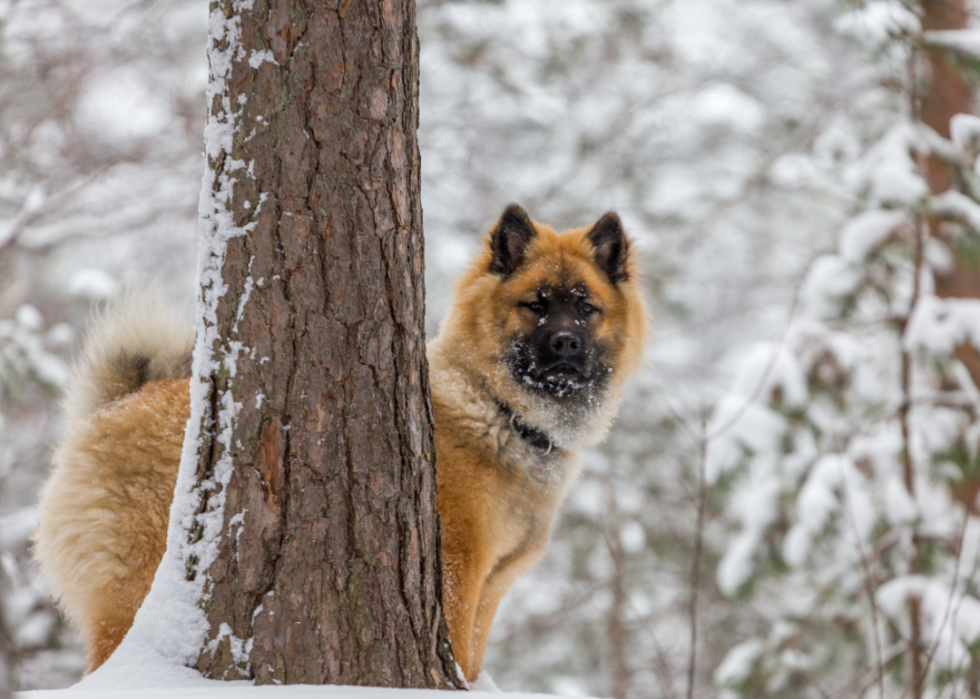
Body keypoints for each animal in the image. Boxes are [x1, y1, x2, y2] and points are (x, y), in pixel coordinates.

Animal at [32, 204, 644, 684]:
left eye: (585, 307)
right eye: (536, 304)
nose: (565, 343)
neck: (500, 410)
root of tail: (114, 408)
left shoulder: (492, 588)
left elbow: (470, 661)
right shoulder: (457, 572)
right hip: (136, 589)